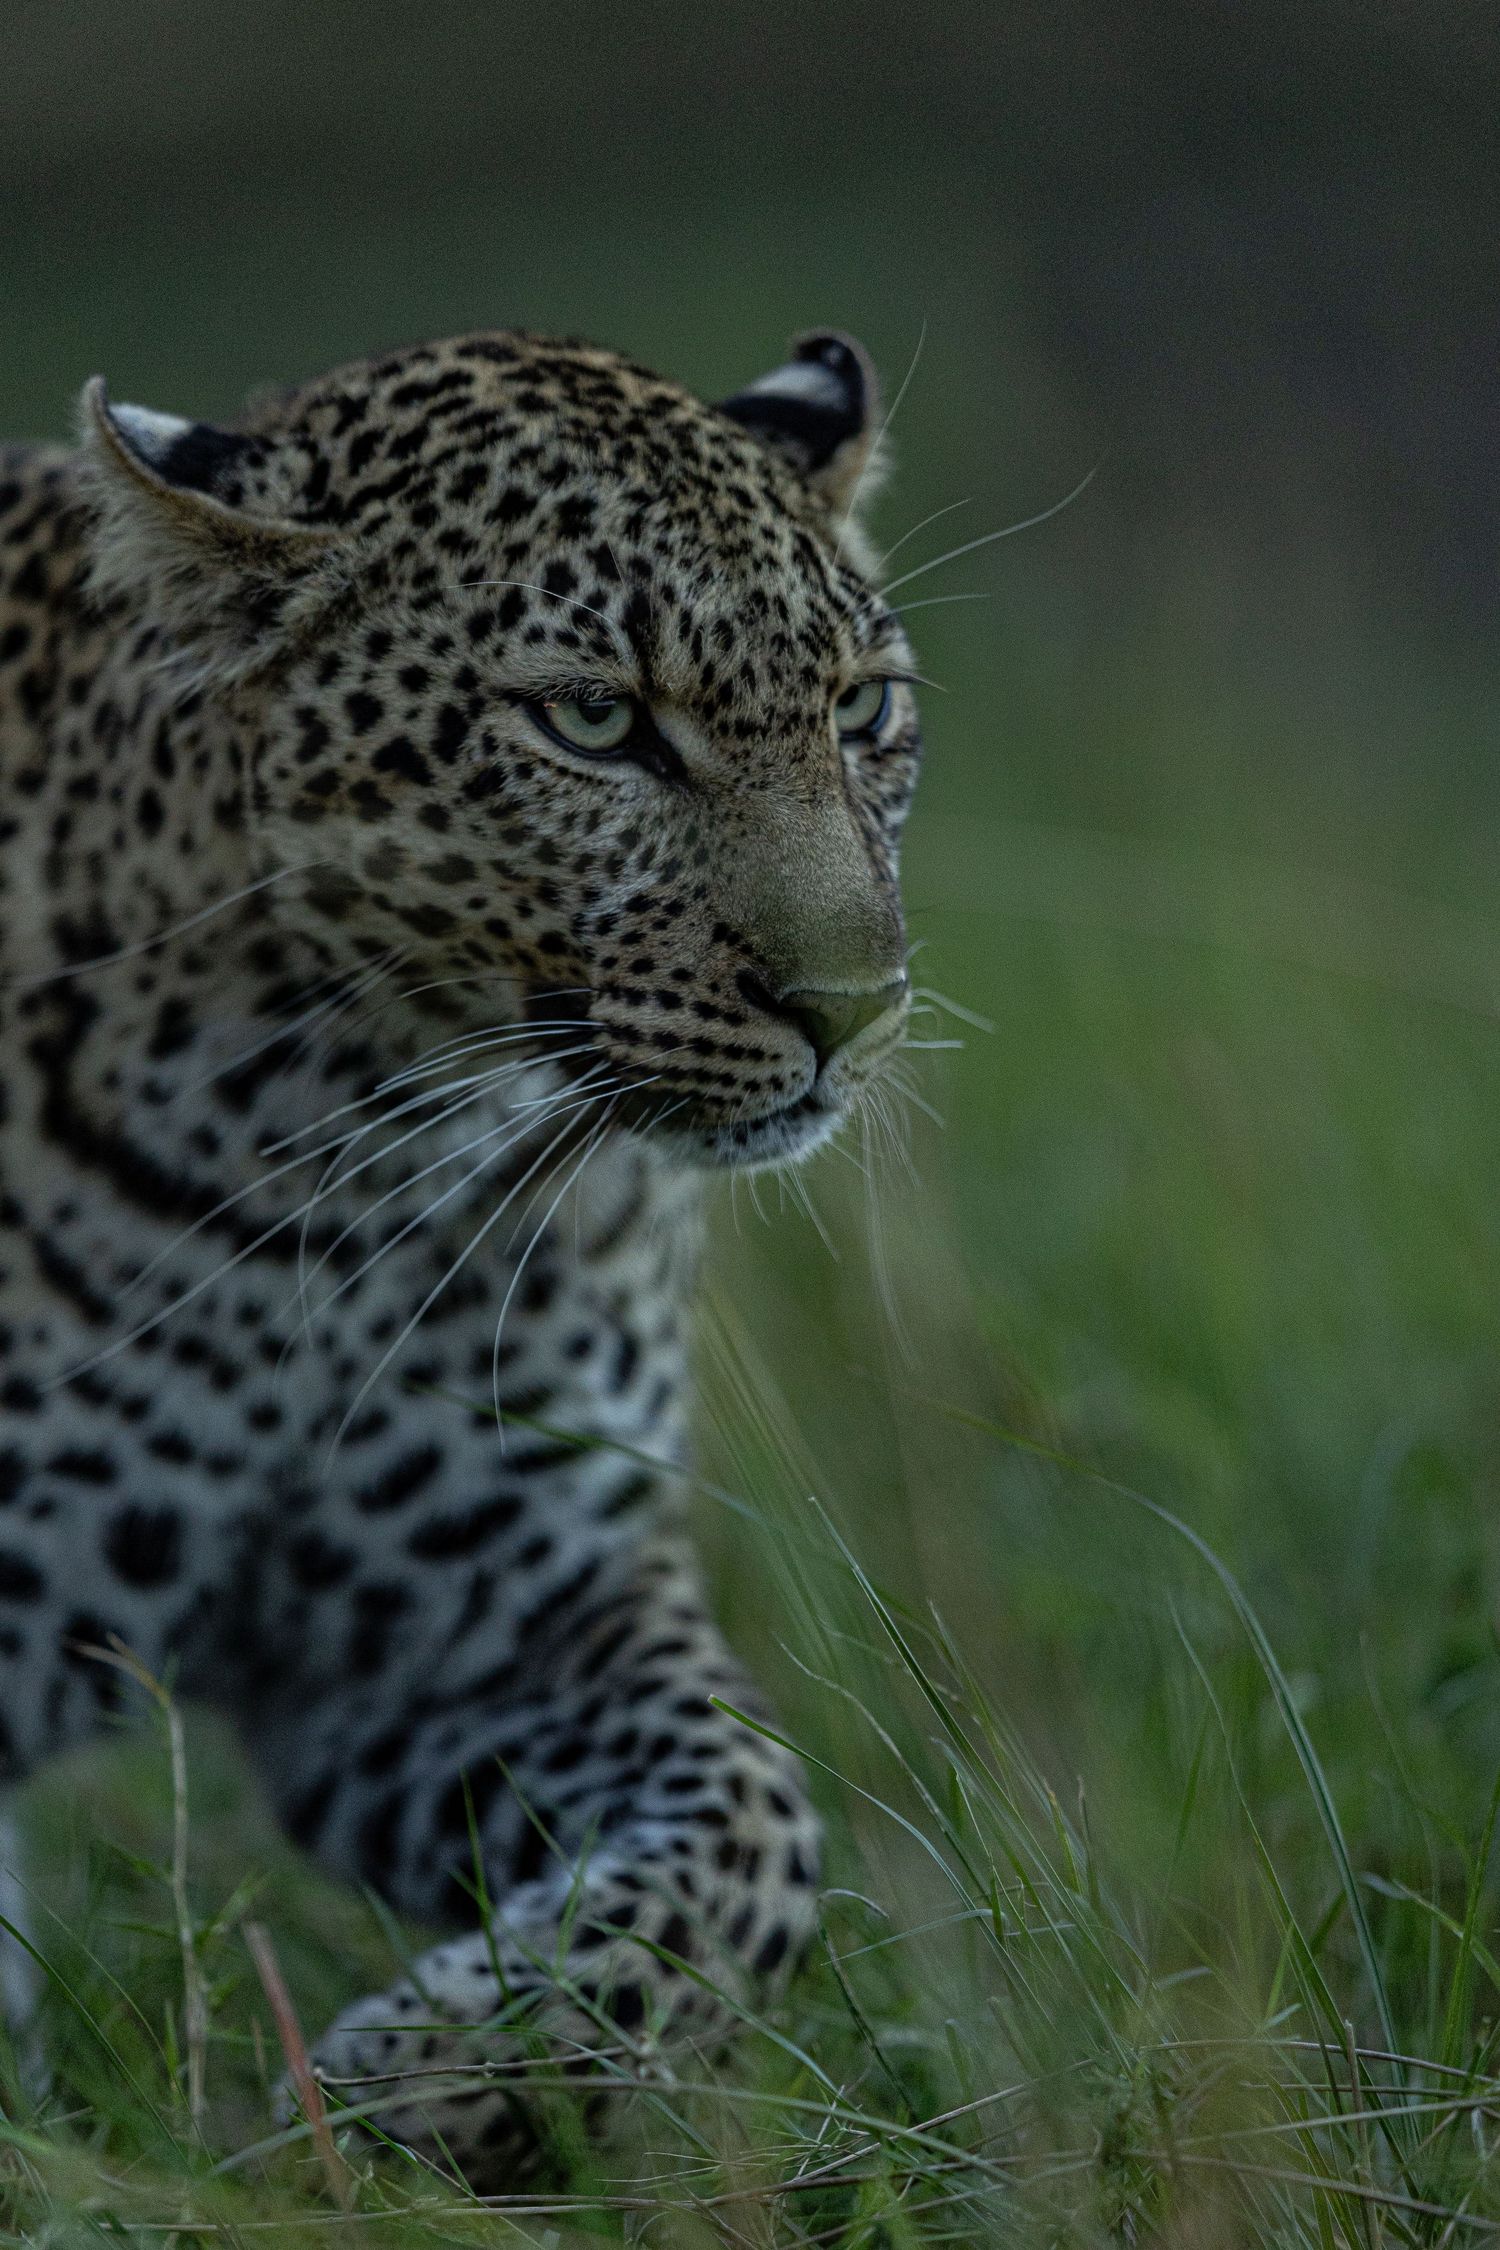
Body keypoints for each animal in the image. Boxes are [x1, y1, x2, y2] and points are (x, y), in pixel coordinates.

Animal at [0, 324, 922, 2176]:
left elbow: (758, 1834)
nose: (851, 1009)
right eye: (592, 719)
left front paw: (428, 2083)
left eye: (866, 709)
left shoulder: (497, 1625)